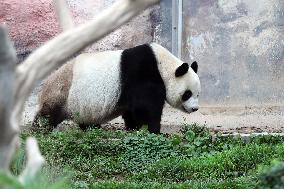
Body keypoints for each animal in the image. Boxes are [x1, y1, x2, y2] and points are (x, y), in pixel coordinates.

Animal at [33, 43, 201, 134]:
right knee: (48, 116)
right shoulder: (142, 75)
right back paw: (40, 130)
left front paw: (134, 128)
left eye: (198, 94)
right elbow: (146, 108)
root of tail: (44, 87)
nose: (195, 109)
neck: (162, 65)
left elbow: (132, 112)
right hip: (63, 94)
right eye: (187, 94)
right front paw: (154, 130)